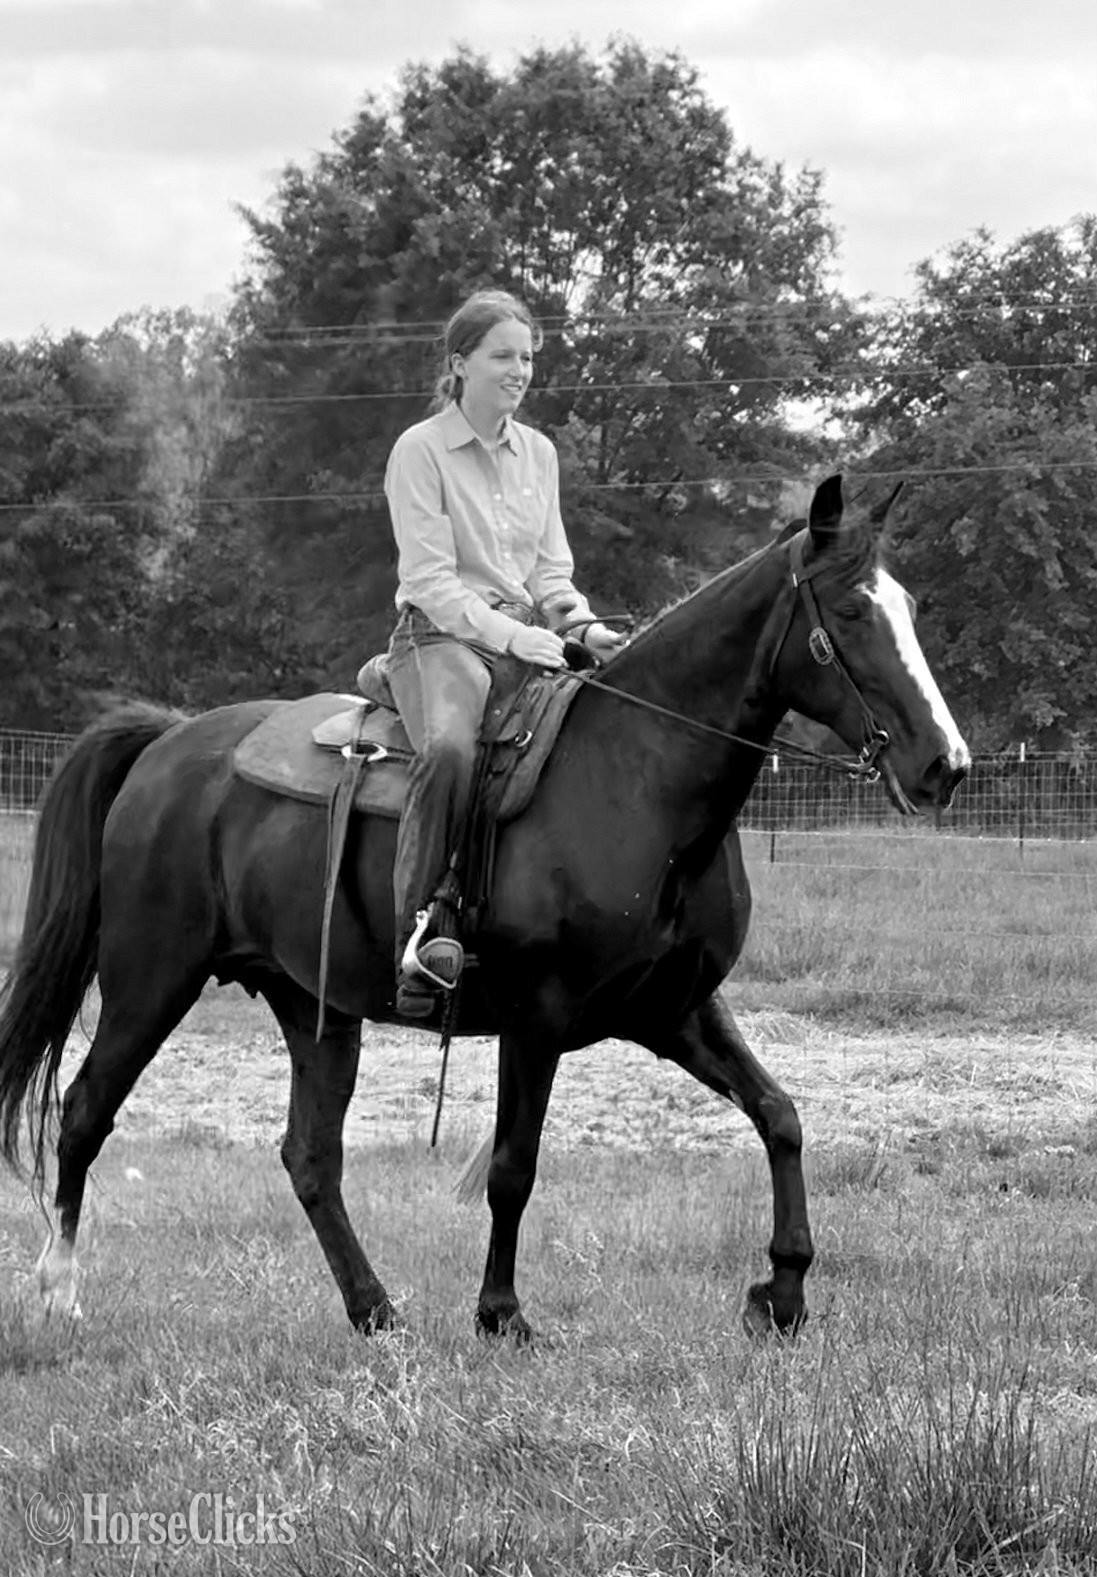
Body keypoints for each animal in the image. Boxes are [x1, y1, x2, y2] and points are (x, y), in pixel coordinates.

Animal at [0, 474, 969, 1342]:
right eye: (850, 613)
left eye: (910, 607)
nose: (944, 764)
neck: (634, 775)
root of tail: (168, 741)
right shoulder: (536, 1015)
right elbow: (513, 1166)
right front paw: (501, 1312)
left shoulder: (675, 1008)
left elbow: (780, 1116)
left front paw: (783, 1292)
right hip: (150, 978)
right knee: (85, 1109)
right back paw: (60, 1292)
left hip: (312, 1007)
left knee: (309, 1157)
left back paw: (374, 1310)